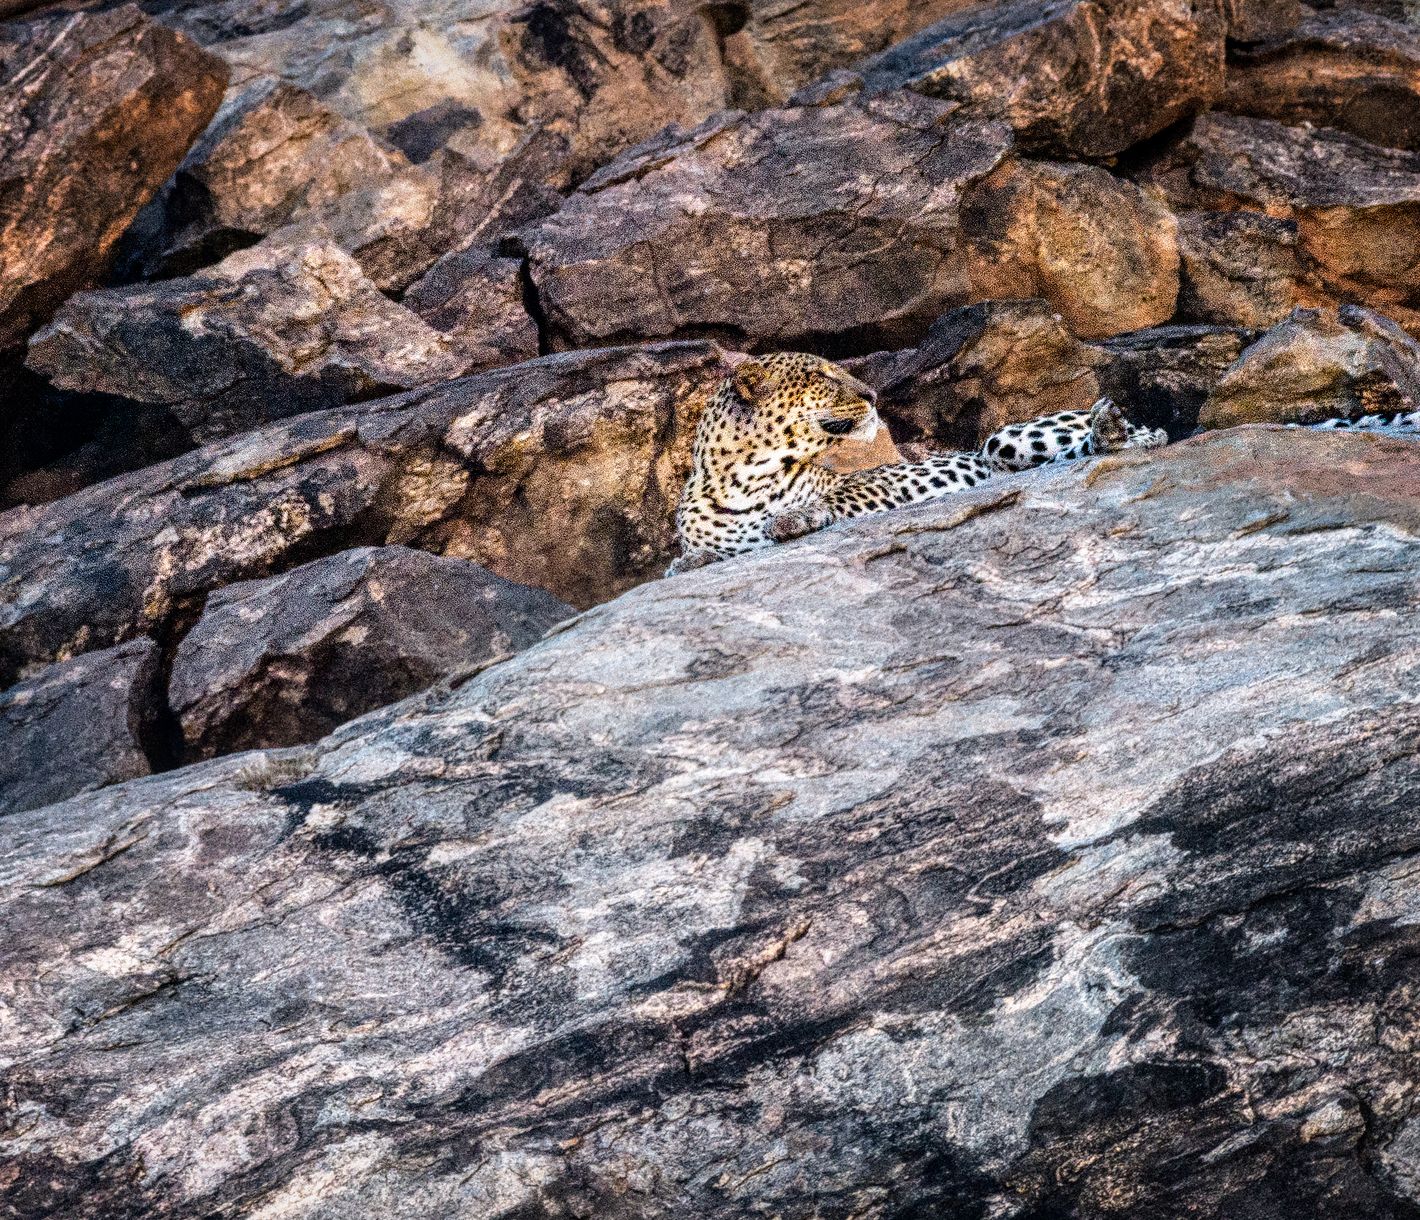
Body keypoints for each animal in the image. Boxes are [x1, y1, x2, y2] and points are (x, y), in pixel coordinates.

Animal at [669, 352, 1167, 574]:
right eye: (819, 377)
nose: (872, 395)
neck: (745, 480)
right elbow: (710, 550)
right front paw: (688, 562)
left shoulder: (872, 486)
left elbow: (836, 496)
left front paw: (795, 517)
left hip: (1002, 439)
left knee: (1143, 437)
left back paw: (1112, 427)